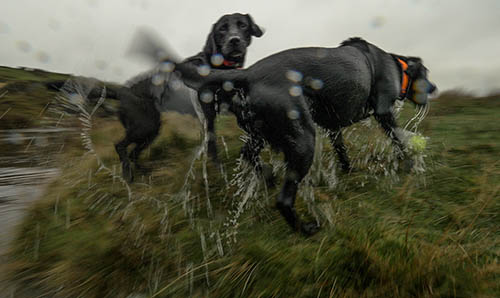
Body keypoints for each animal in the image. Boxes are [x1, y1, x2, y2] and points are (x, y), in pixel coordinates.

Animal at [163, 36, 434, 235]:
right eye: (427, 74)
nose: (434, 88)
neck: (396, 66)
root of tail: (247, 74)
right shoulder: (384, 112)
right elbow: (398, 139)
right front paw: (410, 163)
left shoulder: (332, 126)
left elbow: (341, 149)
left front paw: (349, 169)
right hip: (303, 140)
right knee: (283, 199)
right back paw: (304, 228)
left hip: (263, 133)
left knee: (248, 154)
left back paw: (267, 177)